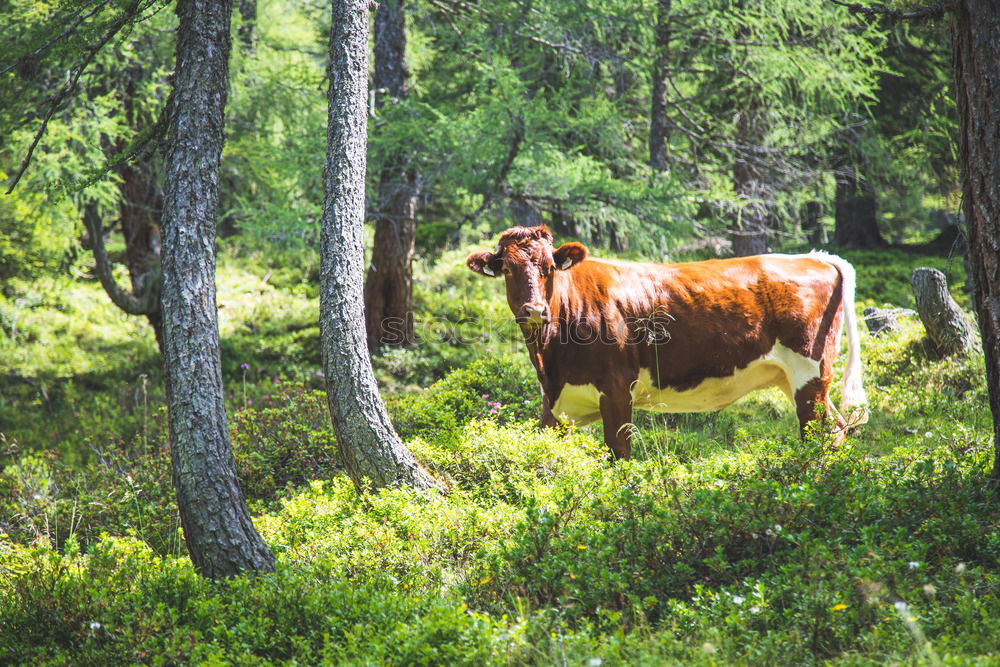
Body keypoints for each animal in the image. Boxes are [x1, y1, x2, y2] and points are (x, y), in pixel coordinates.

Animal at [468, 226, 868, 460]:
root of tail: (814, 258)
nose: (535, 309)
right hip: (797, 378)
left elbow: (619, 453)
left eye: (549, 268)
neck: (550, 357)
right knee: (836, 428)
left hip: (809, 368)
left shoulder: (617, 388)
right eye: (507, 269)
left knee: (816, 433)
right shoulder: (555, 404)